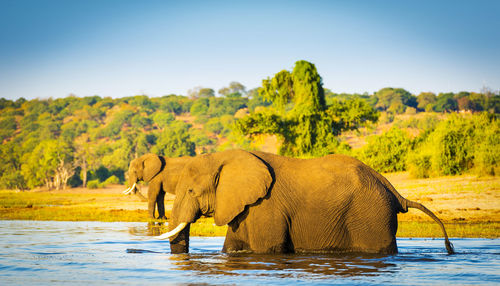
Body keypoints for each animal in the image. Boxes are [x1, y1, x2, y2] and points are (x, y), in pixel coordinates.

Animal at [158, 150, 456, 255]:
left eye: (192, 191)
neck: (224, 157)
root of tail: (395, 193)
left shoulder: (266, 208)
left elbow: (268, 249)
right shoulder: (246, 208)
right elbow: (232, 247)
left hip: (372, 216)